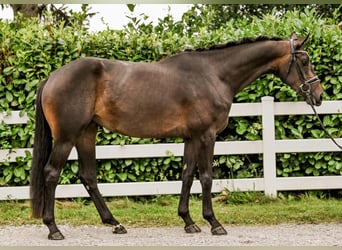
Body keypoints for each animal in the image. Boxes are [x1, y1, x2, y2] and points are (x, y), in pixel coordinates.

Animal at [30, 32, 324, 239]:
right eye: (305, 61)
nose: (319, 95)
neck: (214, 75)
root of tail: (53, 77)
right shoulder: (206, 136)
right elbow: (206, 177)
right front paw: (214, 223)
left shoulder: (191, 137)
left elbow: (187, 175)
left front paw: (189, 222)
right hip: (67, 137)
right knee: (51, 174)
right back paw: (54, 229)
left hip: (86, 133)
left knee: (88, 176)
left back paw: (114, 223)